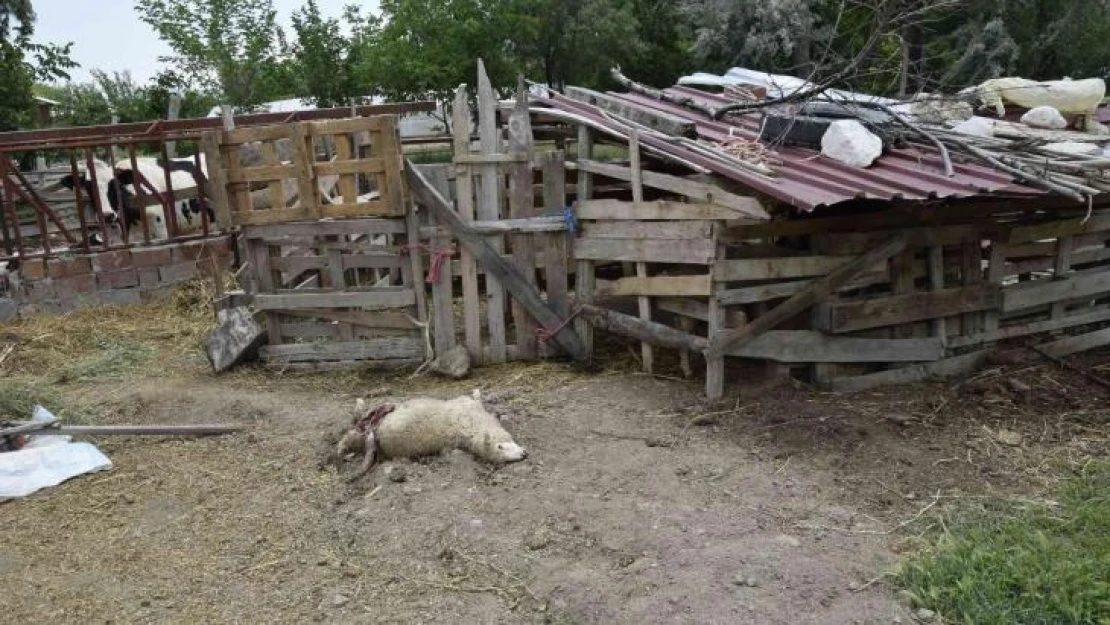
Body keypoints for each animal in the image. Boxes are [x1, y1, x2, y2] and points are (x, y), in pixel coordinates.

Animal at [337, 388, 528, 481]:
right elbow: (476, 397)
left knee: (355, 429)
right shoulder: (465, 403)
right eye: (500, 447)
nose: (524, 455)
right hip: (372, 421)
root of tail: (376, 436)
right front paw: (477, 393)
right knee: (358, 423)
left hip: (365, 431)